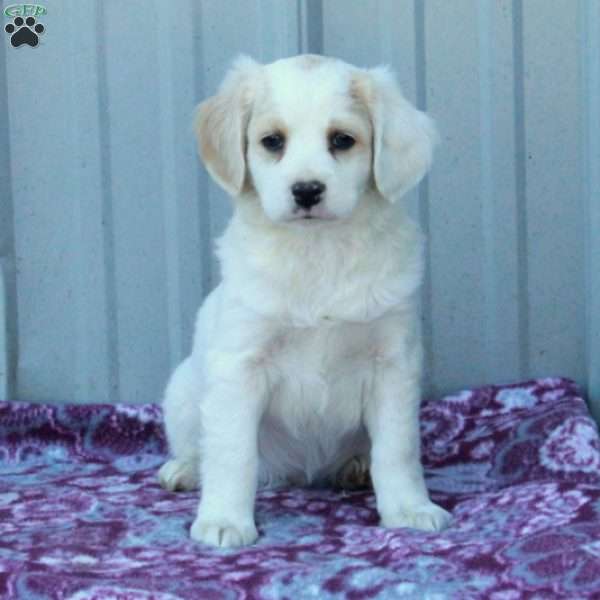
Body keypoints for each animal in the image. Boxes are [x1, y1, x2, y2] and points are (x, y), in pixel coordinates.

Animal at [158, 54, 450, 548]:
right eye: (273, 141)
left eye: (342, 140)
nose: (307, 190)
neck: (318, 253)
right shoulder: (240, 364)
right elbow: (232, 453)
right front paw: (224, 520)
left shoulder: (392, 363)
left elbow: (397, 450)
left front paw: (410, 509)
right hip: (181, 392)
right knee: (198, 447)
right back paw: (184, 470)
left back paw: (355, 468)